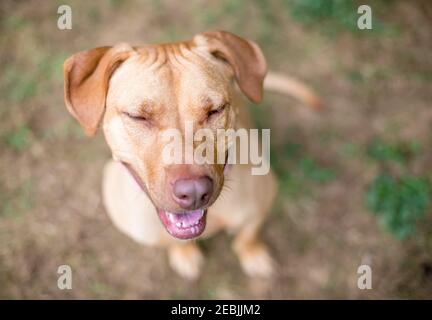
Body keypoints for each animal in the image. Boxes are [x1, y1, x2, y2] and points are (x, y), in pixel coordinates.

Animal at [64, 31, 320, 278]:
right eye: (138, 116)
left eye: (215, 110)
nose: (195, 192)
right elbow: (173, 242)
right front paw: (185, 255)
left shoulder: (261, 204)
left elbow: (247, 236)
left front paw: (253, 255)